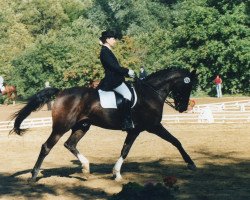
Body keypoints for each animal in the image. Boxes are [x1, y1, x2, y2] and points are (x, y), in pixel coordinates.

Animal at [10, 68, 197, 182]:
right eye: (187, 87)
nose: (183, 108)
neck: (150, 93)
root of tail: (62, 91)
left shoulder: (135, 130)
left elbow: (125, 150)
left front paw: (117, 174)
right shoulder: (153, 127)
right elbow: (176, 141)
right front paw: (191, 164)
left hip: (82, 126)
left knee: (70, 144)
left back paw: (86, 168)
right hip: (61, 126)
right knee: (46, 147)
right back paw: (33, 176)